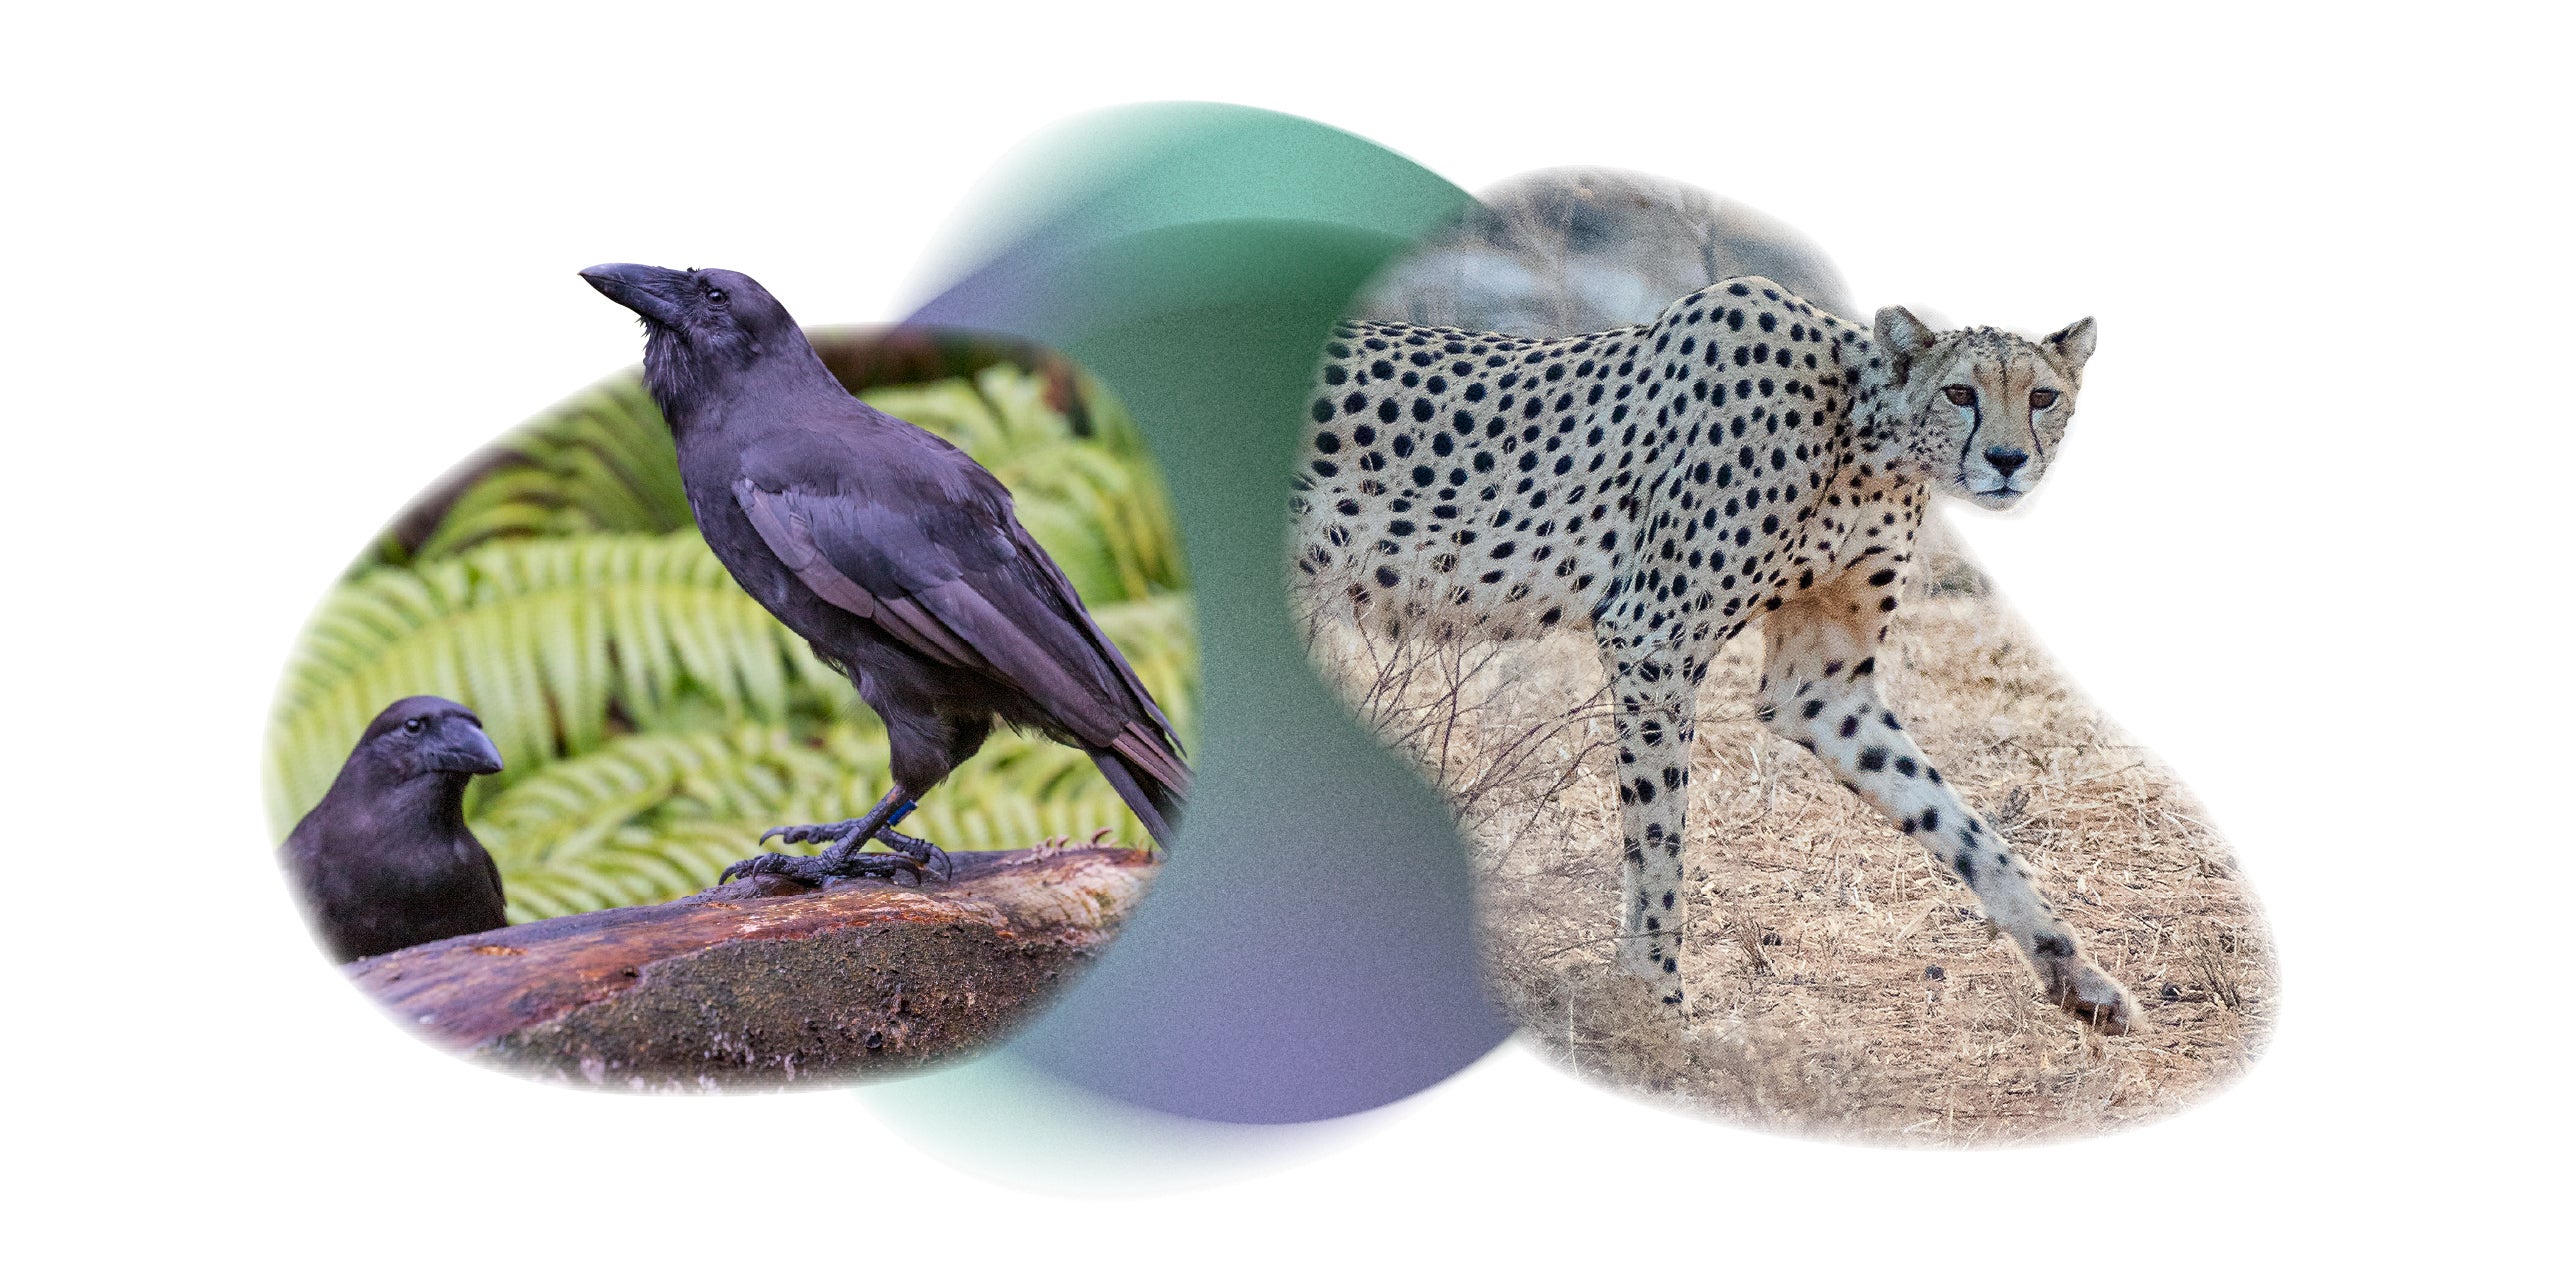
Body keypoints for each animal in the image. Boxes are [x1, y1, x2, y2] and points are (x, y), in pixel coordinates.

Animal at [1289, 275, 2137, 1032]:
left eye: (2041, 397)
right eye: (1960, 392)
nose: (2005, 459)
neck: (1864, 437)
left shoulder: (1820, 687)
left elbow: (1957, 822)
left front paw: (2077, 974)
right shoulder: (1651, 639)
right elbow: (1659, 836)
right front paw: (1656, 1000)